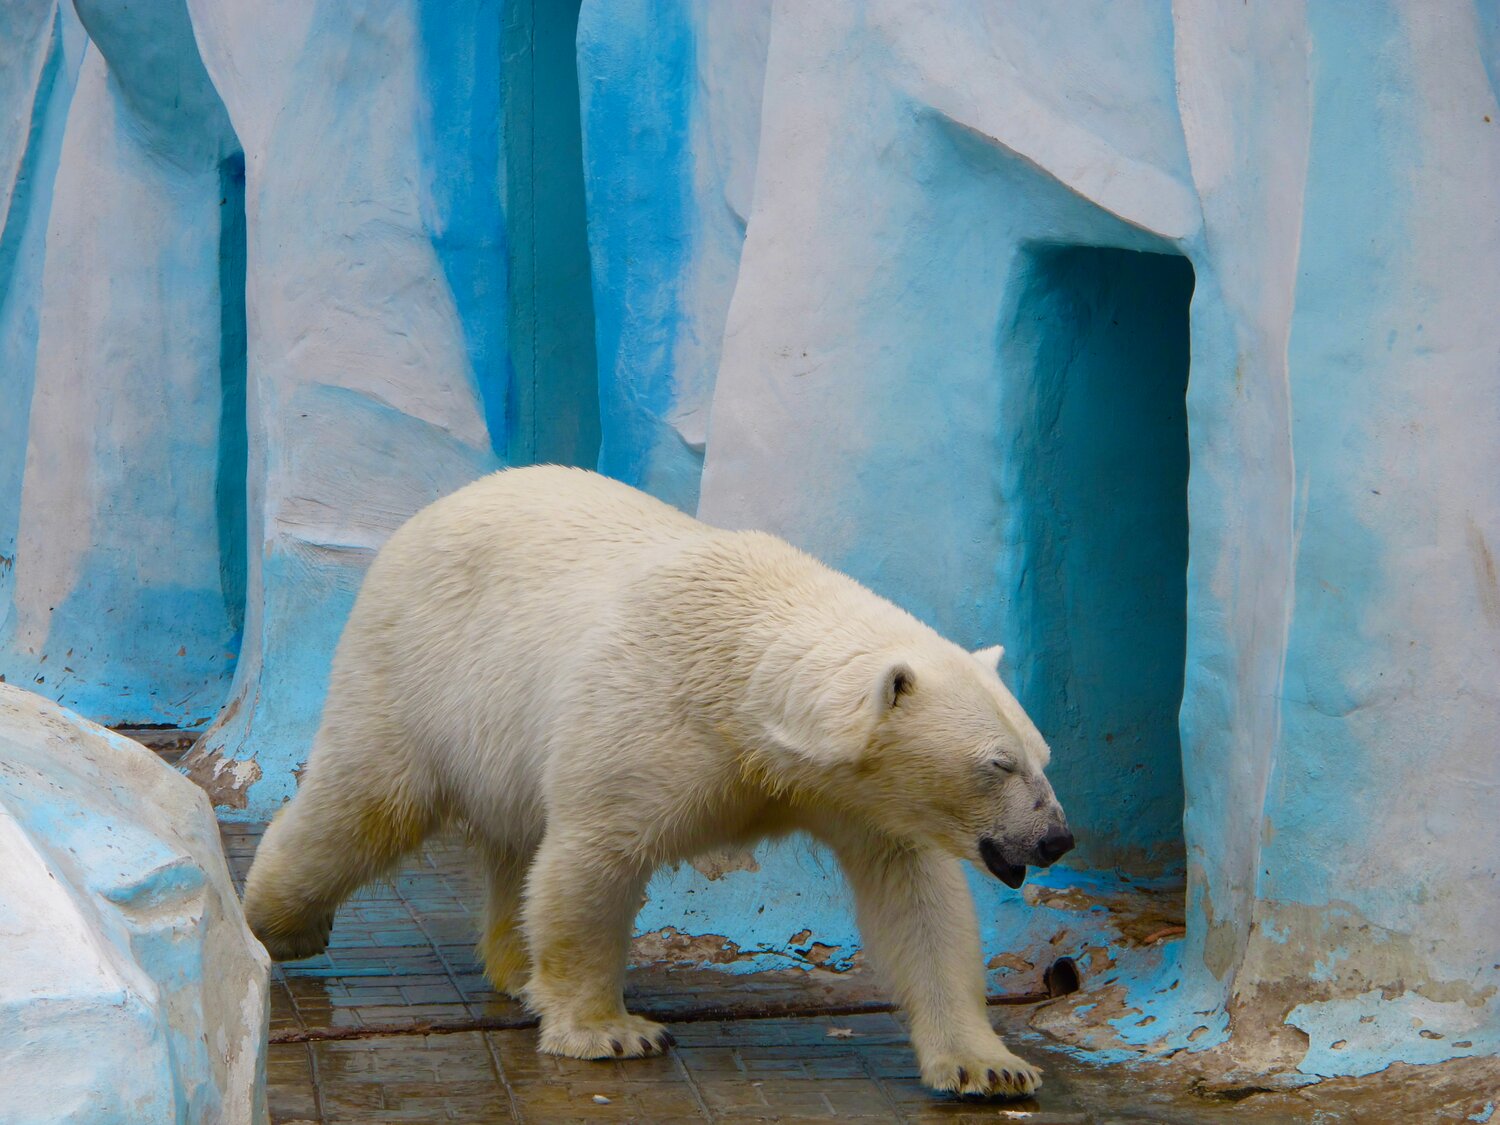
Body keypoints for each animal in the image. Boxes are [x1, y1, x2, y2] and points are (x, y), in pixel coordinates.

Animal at [242, 465, 1074, 1098]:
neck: (746, 673)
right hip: (417, 666)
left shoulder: (855, 797)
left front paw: (989, 1065)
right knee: (364, 803)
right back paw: (276, 921)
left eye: (1042, 753)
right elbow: (593, 858)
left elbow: (919, 901)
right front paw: (609, 1031)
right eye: (998, 763)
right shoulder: (649, 717)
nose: (1056, 836)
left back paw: (516, 969)